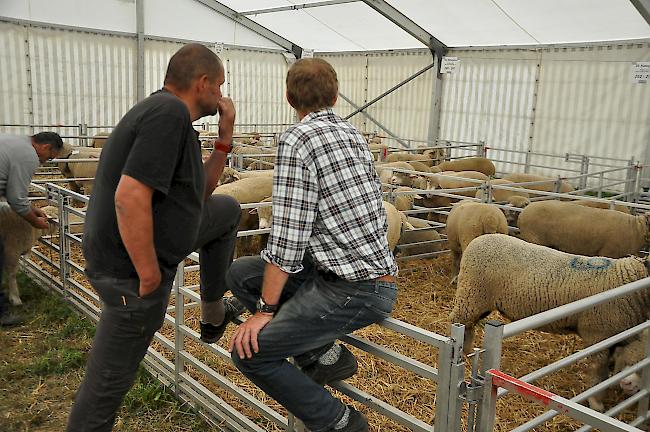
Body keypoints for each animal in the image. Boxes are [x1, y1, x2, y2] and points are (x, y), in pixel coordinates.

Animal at [448, 233, 648, 412]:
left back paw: (467, 352)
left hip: (478, 301)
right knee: (459, 323)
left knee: (469, 326)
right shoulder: (597, 336)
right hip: (471, 295)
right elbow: (598, 371)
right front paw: (596, 403)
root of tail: (478, 240)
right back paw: (461, 353)